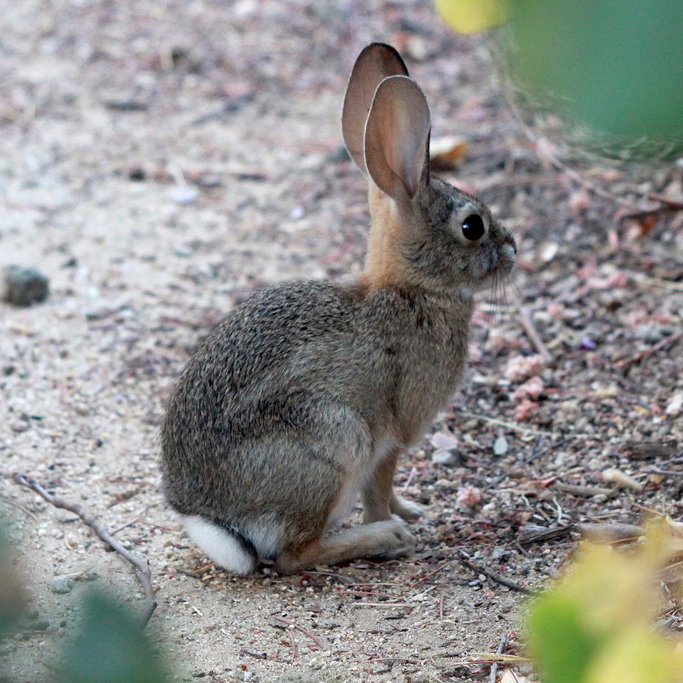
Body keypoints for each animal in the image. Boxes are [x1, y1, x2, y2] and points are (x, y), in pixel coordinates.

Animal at [160, 42, 516, 576]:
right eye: (472, 227)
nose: (513, 252)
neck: (411, 289)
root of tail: (210, 518)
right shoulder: (392, 435)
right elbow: (379, 489)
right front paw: (395, 520)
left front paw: (414, 508)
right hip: (335, 442)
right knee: (294, 555)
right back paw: (382, 538)